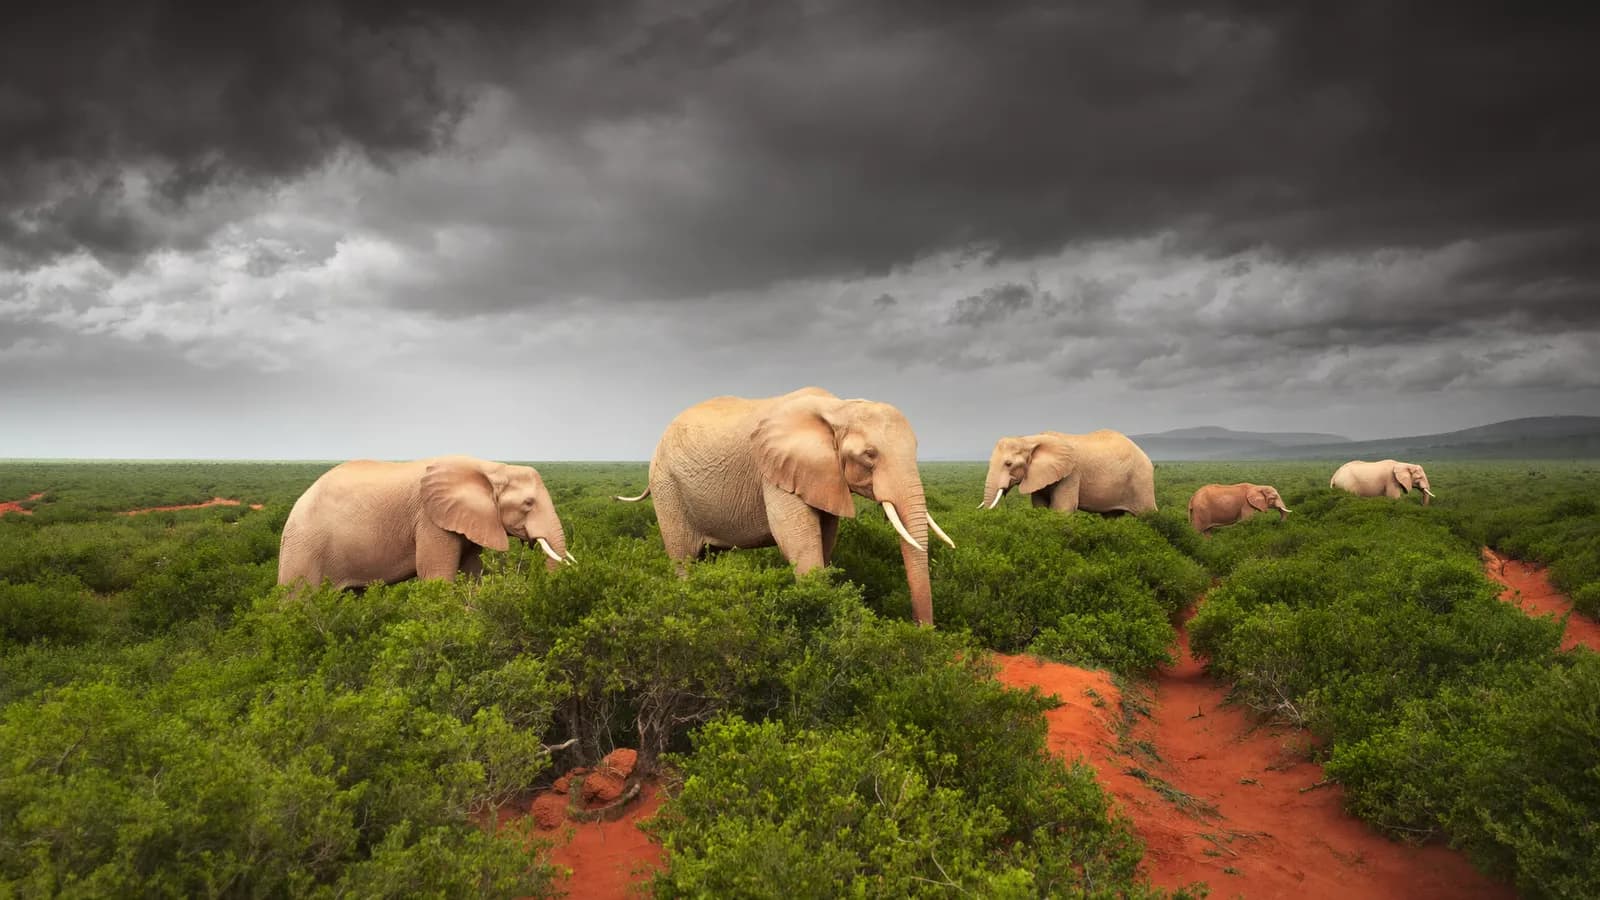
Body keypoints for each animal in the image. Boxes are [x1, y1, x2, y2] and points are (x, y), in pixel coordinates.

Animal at [278, 455, 573, 591]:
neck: (491, 467)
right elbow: (436, 576)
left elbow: (471, 574)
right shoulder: (430, 520)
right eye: (528, 503)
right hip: (304, 546)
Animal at [614, 387, 952, 626]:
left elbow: (825, 539)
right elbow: (796, 540)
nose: (923, 632)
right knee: (683, 558)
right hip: (666, 486)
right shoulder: (775, 471)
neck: (837, 408)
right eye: (870, 454)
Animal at [981, 430, 1157, 515]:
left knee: (1147, 515)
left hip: (1141, 479)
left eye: (1008, 464)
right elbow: (1039, 506)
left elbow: (1062, 508)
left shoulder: (1071, 473)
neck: (1029, 439)